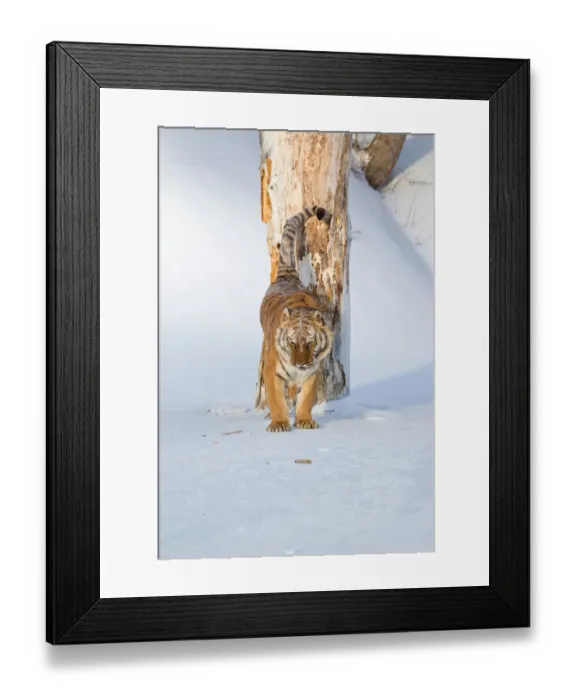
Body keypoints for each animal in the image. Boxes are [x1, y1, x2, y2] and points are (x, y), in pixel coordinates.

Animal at [255, 205, 334, 432]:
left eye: (311, 342)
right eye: (291, 342)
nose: (300, 364)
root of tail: (288, 275)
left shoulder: (313, 371)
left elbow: (306, 398)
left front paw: (305, 421)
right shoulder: (272, 371)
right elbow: (276, 400)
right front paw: (280, 423)